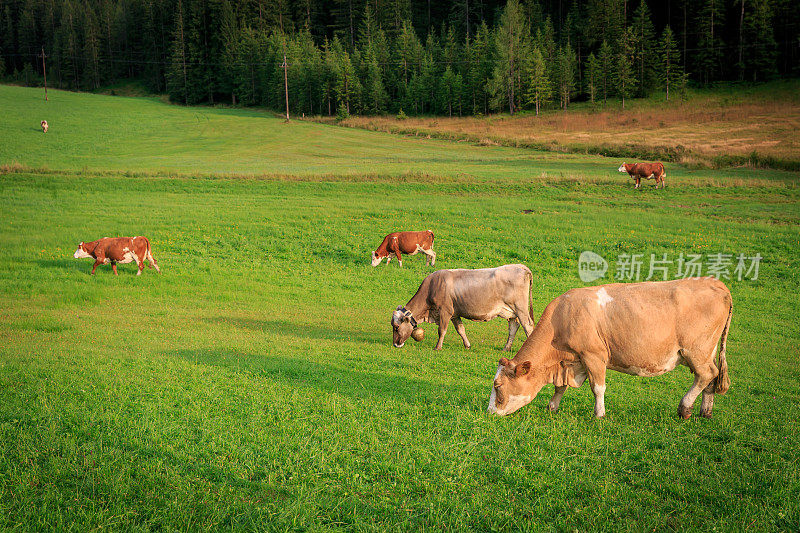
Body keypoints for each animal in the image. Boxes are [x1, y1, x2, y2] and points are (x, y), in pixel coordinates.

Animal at [390, 262, 536, 354]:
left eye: (396, 327)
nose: (395, 344)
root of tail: (520, 266)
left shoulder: (445, 311)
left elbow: (441, 330)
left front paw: (438, 347)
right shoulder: (454, 314)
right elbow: (461, 330)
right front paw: (467, 345)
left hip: (520, 308)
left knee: (527, 325)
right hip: (511, 312)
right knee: (513, 327)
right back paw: (506, 348)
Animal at [484, 276, 736, 418]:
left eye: (498, 386)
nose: (490, 412)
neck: (562, 318)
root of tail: (715, 282)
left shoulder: (593, 355)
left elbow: (598, 388)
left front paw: (599, 414)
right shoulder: (570, 361)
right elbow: (560, 387)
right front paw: (552, 407)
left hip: (696, 351)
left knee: (707, 374)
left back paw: (684, 408)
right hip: (709, 351)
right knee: (711, 378)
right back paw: (705, 411)